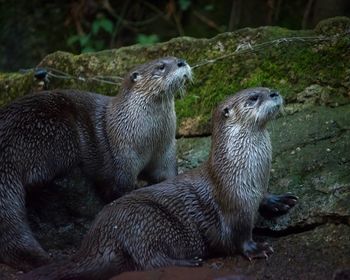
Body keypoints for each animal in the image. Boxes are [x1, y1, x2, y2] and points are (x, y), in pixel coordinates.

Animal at [0, 56, 191, 270]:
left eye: (174, 58)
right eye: (161, 67)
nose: (182, 62)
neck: (145, 137)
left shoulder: (165, 152)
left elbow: (167, 177)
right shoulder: (122, 159)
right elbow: (118, 188)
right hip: (54, 132)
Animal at [22, 87, 298, 280]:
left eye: (265, 87)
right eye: (254, 97)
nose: (274, 92)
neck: (243, 170)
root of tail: (98, 237)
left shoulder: (255, 188)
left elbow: (263, 198)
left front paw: (279, 201)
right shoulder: (234, 204)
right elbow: (238, 236)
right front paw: (256, 248)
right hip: (144, 222)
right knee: (147, 260)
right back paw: (188, 261)